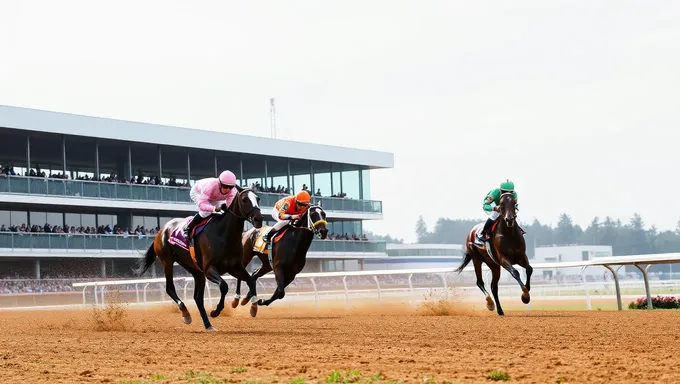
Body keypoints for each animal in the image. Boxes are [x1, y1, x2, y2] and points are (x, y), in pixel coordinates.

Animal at [137, 186, 262, 330]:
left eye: (258, 198)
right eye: (244, 199)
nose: (259, 219)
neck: (224, 234)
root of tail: (161, 230)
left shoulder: (235, 267)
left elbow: (251, 281)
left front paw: (253, 307)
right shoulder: (209, 269)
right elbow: (224, 286)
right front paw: (215, 311)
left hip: (196, 270)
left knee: (197, 298)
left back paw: (208, 325)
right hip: (167, 260)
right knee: (170, 288)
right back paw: (186, 314)